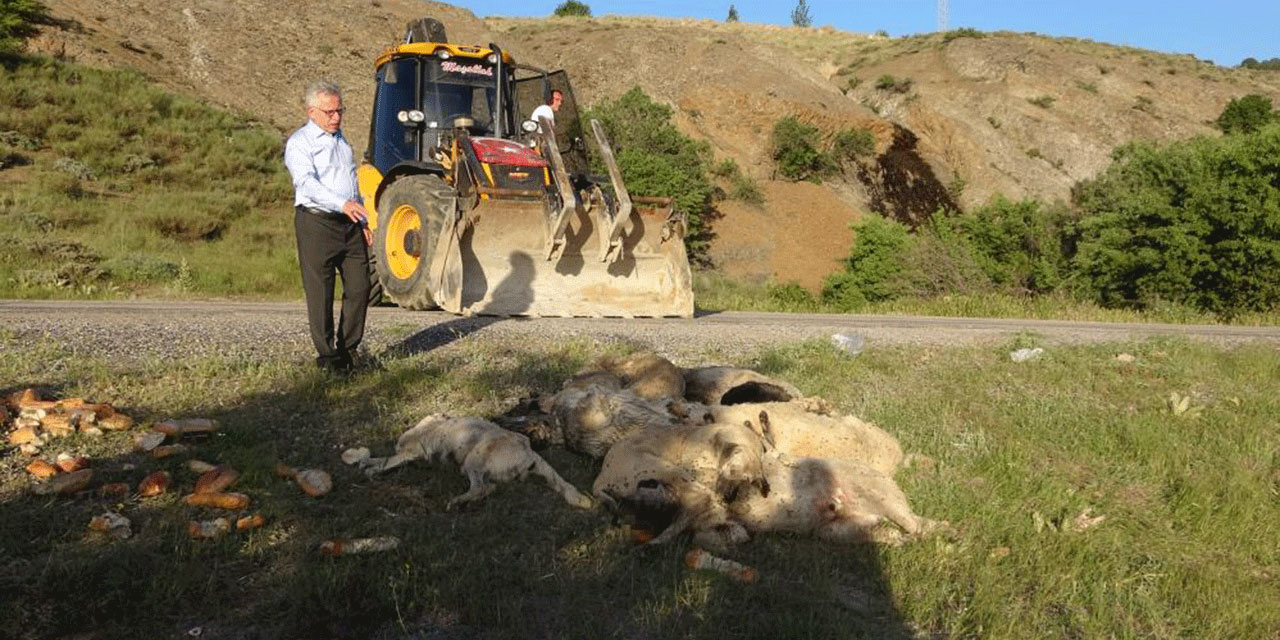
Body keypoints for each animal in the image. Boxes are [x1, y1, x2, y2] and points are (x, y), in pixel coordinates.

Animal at [343, 414, 596, 509]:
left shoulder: (410, 452)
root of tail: (530, 452)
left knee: (482, 488)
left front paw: (366, 466)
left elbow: (380, 461)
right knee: (488, 487)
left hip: (472, 460)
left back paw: (456, 501)